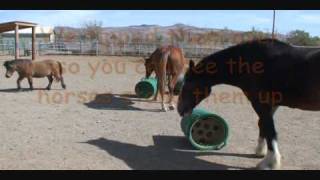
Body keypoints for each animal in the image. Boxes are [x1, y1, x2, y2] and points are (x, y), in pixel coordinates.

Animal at [179, 38, 320, 169]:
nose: (180, 109)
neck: (251, 63)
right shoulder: (271, 105)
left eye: (187, 85)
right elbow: (262, 125)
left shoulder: (260, 103)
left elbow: (269, 129)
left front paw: (270, 163)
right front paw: (260, 152)